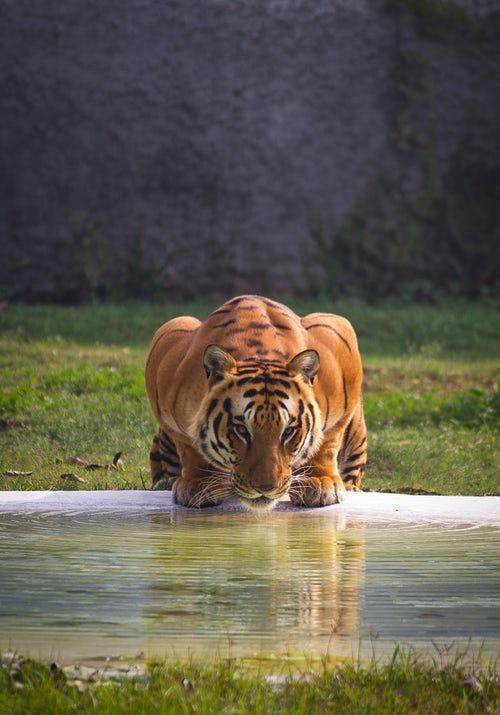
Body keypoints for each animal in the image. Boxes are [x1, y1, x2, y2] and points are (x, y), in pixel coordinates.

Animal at [145, 296, 368, 510]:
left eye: (288, 431)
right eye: (241, 430)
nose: (266, 488)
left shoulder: (340, 340)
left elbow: (327, 441)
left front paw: (320, 482)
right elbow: (189, 446)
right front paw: (199, 484)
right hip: (179, 322)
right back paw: (165, 482)